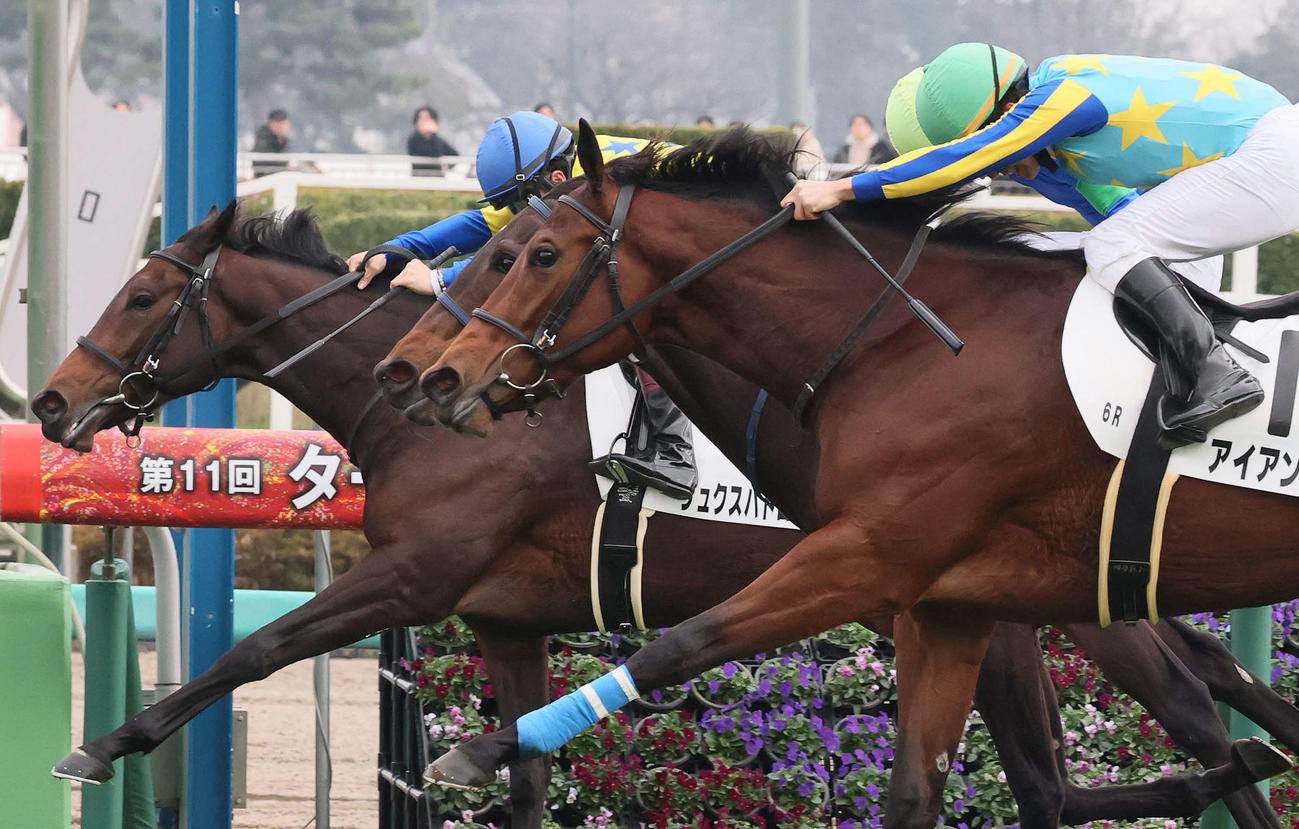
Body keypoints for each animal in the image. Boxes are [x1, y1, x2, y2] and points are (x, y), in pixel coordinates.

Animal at [400, 123, 1299, 826]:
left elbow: (681, 643)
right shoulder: (948, 604)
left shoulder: (871, 552)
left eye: (534, 254)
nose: (437, 376)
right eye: (494, 247)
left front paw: (482, 748)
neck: (901, 342)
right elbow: (922, 790)